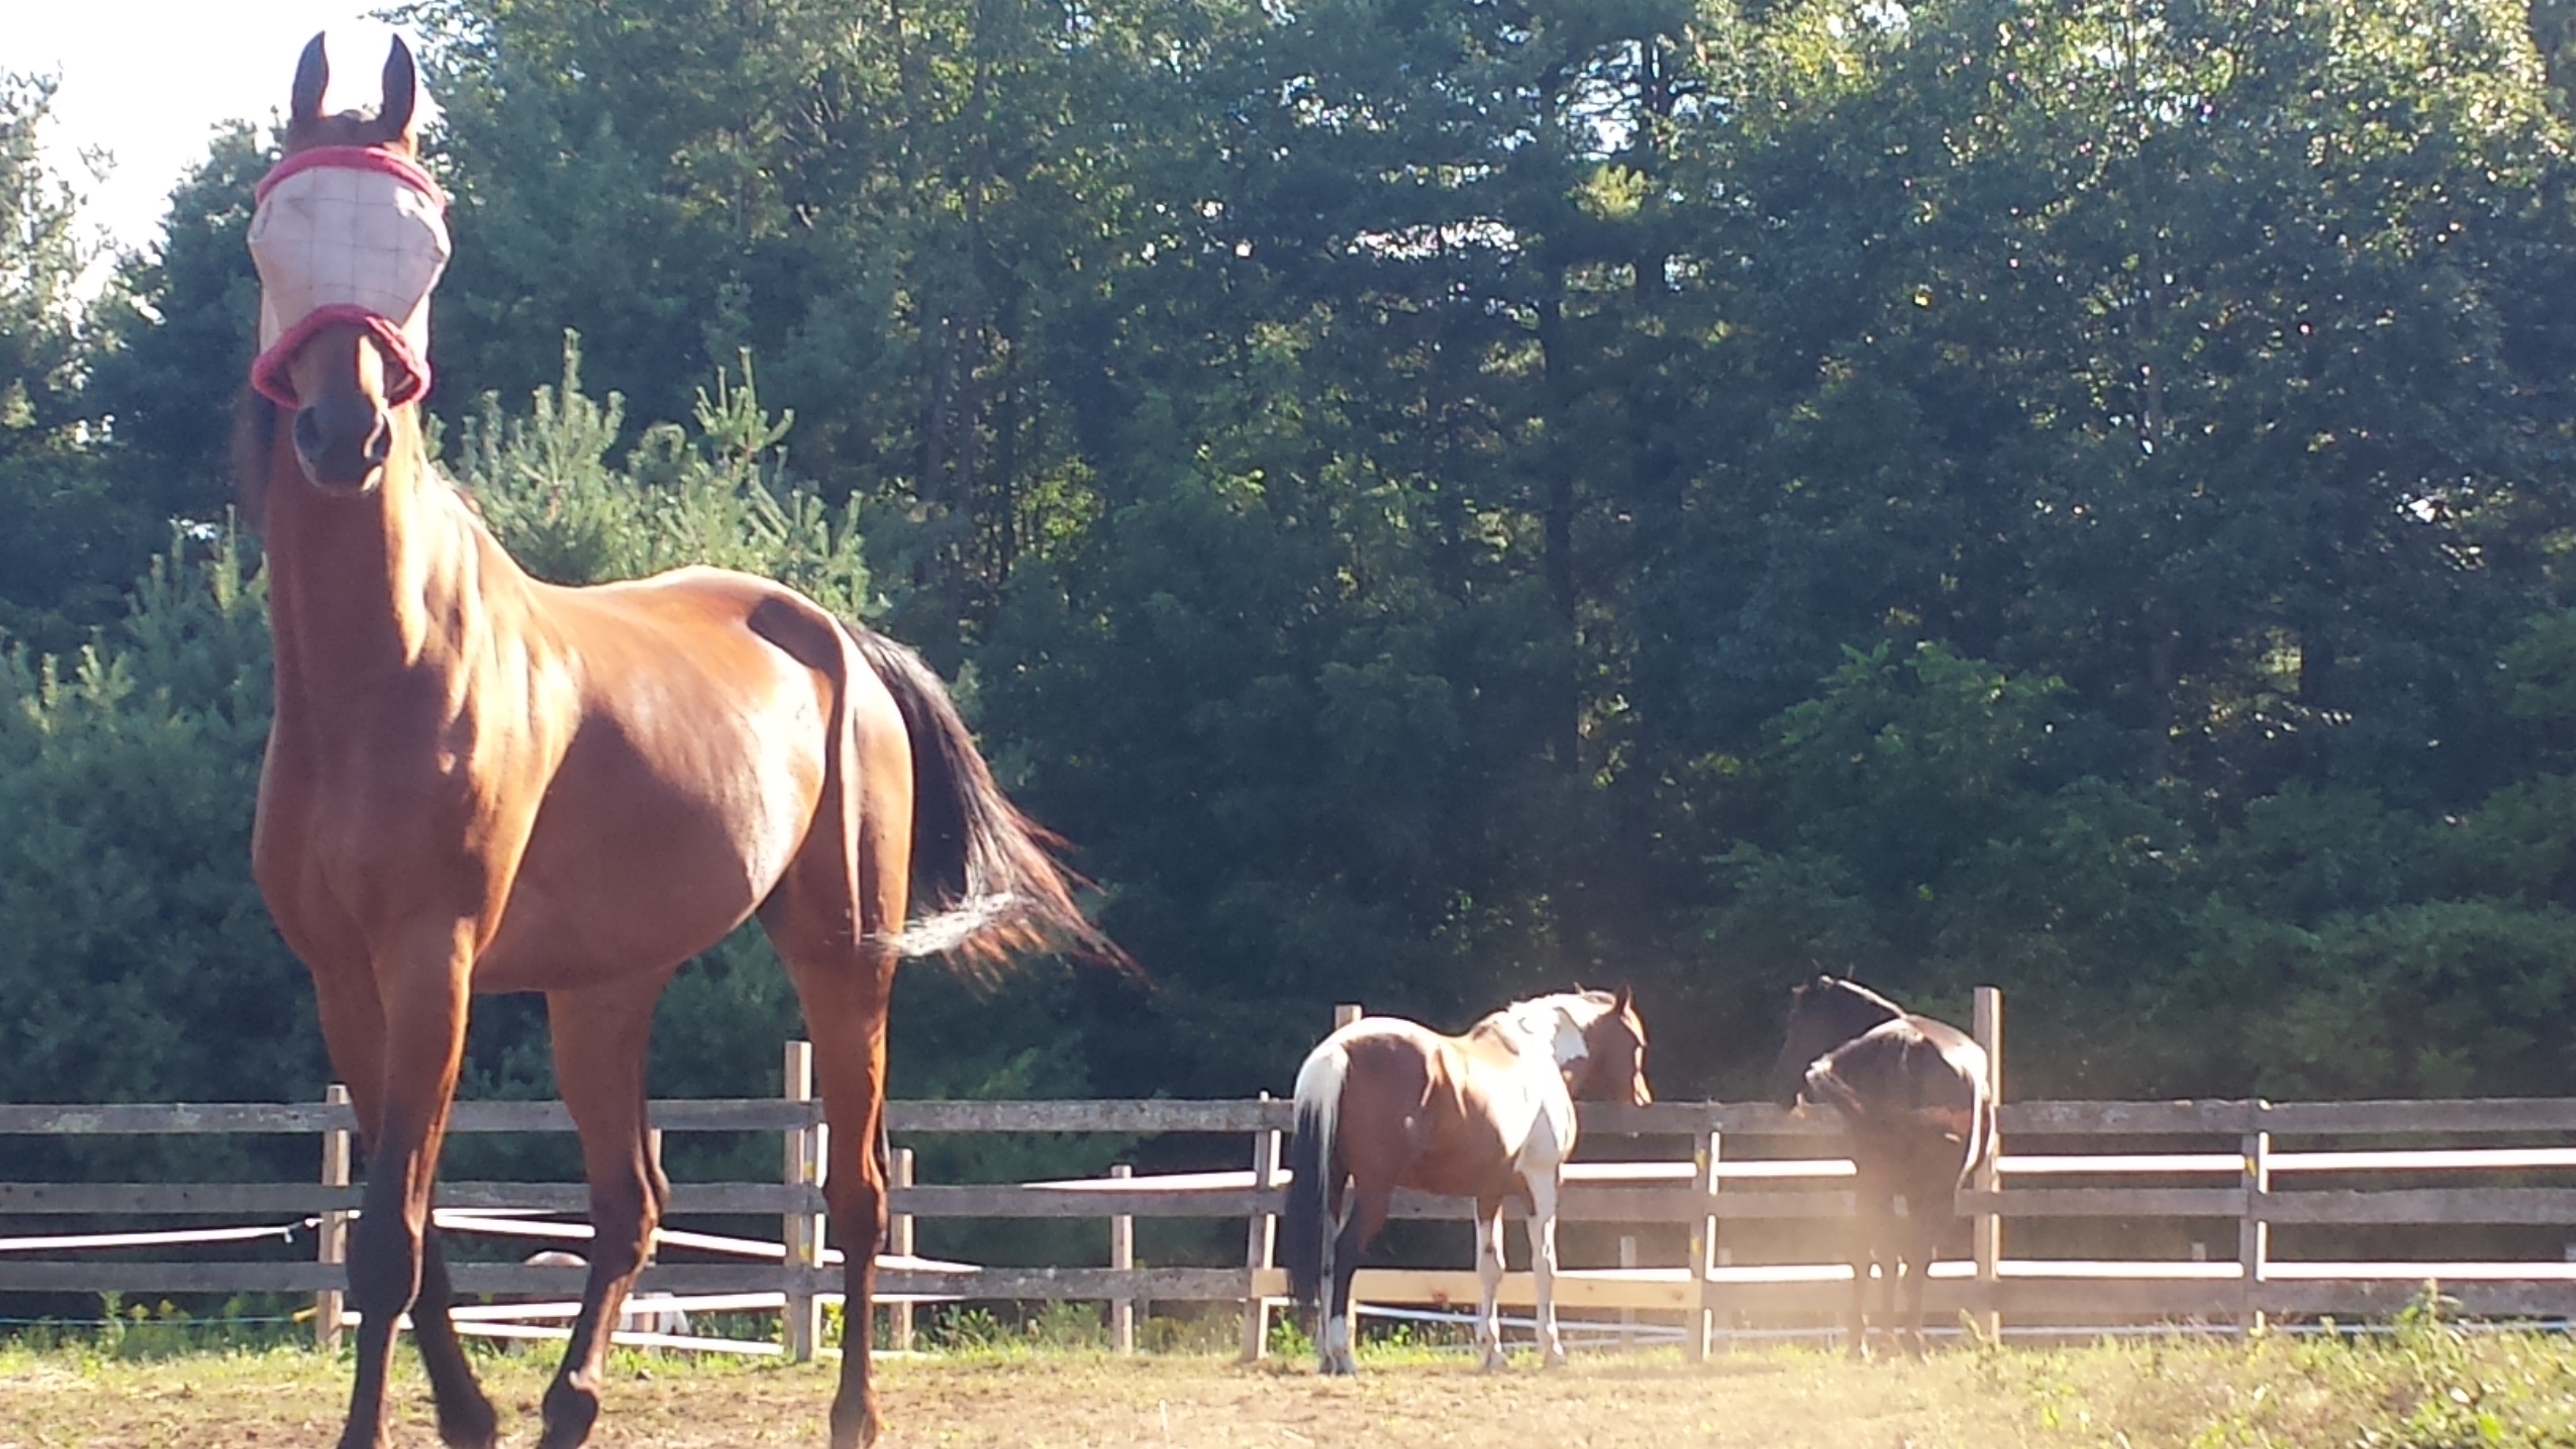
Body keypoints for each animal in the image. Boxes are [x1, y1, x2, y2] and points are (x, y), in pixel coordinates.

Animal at [240, 36, 1116, 1449]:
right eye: (273, 231)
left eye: (425, 245)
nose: (344, 432)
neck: (380, 673)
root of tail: (839, 637)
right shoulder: (346, 981)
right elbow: (415, 1243)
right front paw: (471, 1417)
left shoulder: (433, 965)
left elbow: (385, 1242)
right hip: (605, 990)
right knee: (631, 1203)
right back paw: (569, 1404)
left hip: (840, 955)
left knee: (858, 1193)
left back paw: (850, 1416)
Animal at [1280, 987, 1651, 1375]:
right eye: (1637, 1042)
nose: (1642, 1100)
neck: (1538, 1053)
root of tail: (1338, 1052)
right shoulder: (1542, 1184)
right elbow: (1545, 1264)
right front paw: (1553, 1350)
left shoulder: (1489, 1194)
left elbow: (1490, 1268)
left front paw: (1493, 1353)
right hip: (1373, 1192)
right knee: (1345, 1252)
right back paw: (1343, 1355)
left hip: (1334, 1183)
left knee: (1325, 1257)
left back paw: (1326, 1356)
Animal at [1770, 975, 1995, 1361]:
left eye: (1796, 1023)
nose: (1782, 1086)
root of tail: (1909, 1045)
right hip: (1925, 1190)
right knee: (1907, 1255)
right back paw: (1904, 1342)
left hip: (1881, 1184)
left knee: (1876, 1250)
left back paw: (1878, 1342)